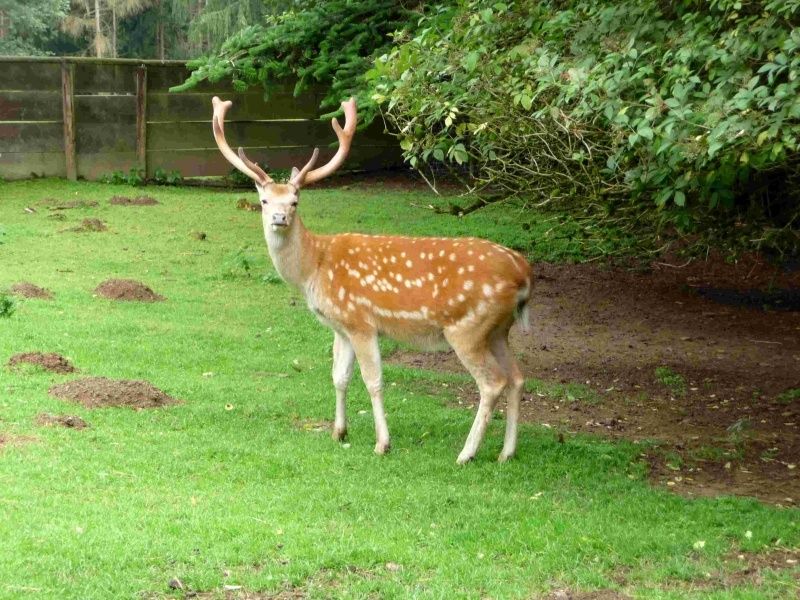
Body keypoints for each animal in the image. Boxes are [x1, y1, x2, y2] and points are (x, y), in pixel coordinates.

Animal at [212, 95, 536, 464]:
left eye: (295, 201)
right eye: (264, 200)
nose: (279, 218)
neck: (314, 267)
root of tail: (523, 271)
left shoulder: (360, 321)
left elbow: (373, 381)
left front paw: (383, 443)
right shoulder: (340, 326)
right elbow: (339, 377)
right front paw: (339, 432)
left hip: (467, 327)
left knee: (493, 382)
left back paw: (466, 454)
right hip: (498, 330)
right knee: (518, 377)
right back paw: (506, 452)